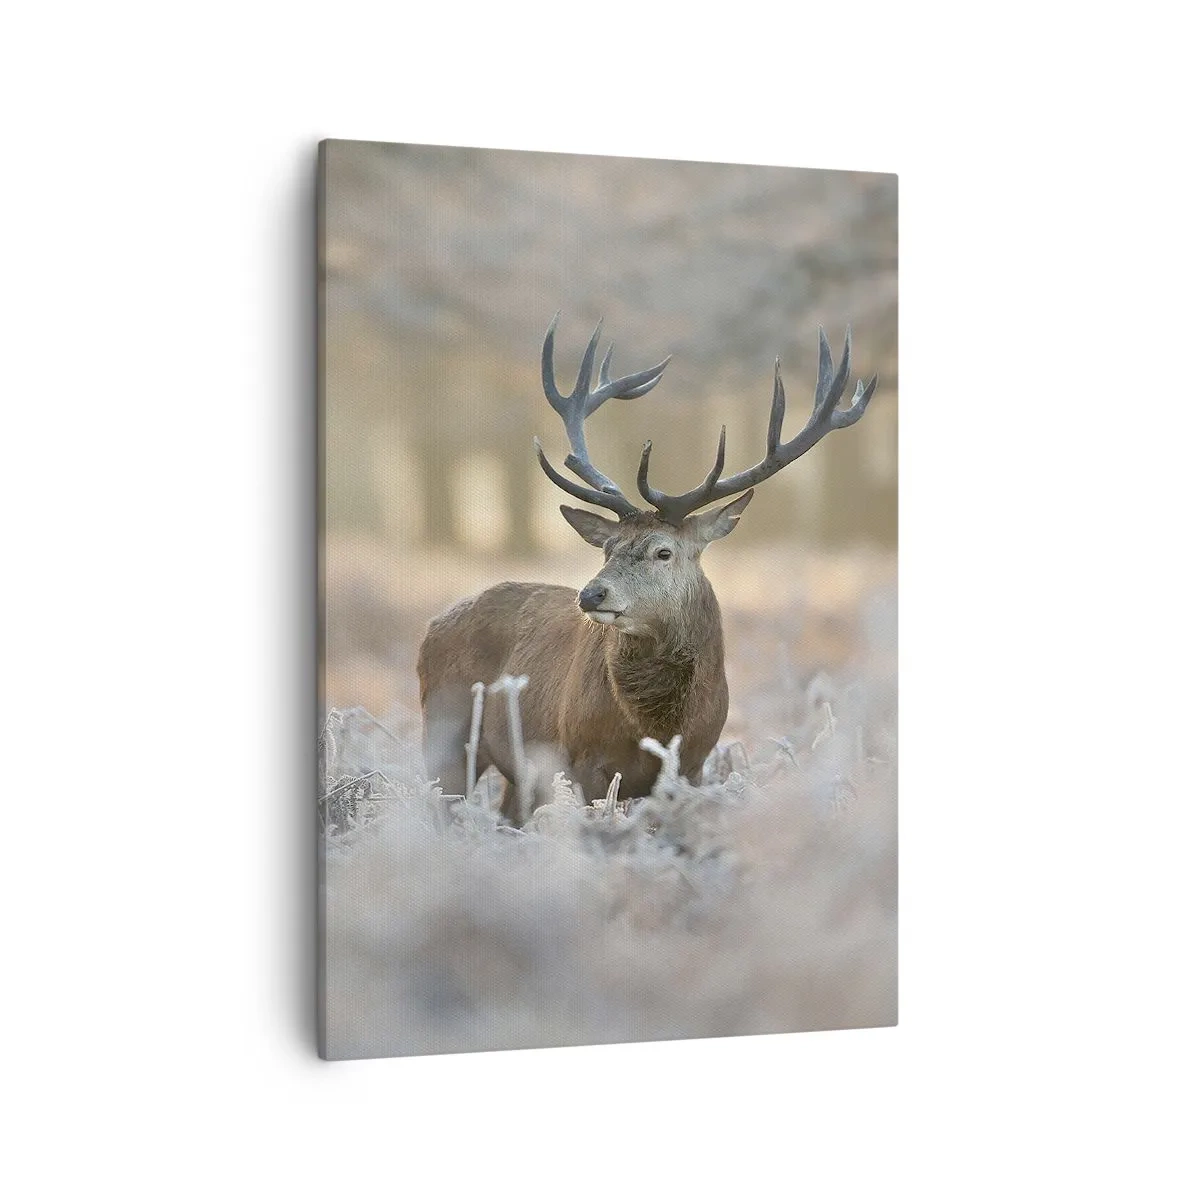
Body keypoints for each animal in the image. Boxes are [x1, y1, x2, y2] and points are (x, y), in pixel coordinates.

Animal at [417, 314, 877, 825]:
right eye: (607, 548)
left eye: (663, 552)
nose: (591, 594)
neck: (654, 726)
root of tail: (433, 625)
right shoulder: (581, 761)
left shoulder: (693, 764)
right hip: (445, 732)